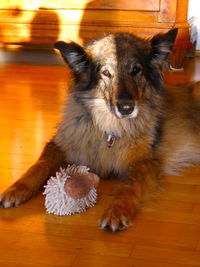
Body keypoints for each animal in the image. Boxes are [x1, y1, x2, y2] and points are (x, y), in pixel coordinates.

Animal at [1, 28, 200, 232]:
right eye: (106, 72)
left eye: (136, 70)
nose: (126, 108)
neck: (109, 127)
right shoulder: (60, 144)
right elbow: (39, 165)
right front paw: (16, 189)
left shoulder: (143, 162)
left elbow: (128, 186)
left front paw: (116, 211)